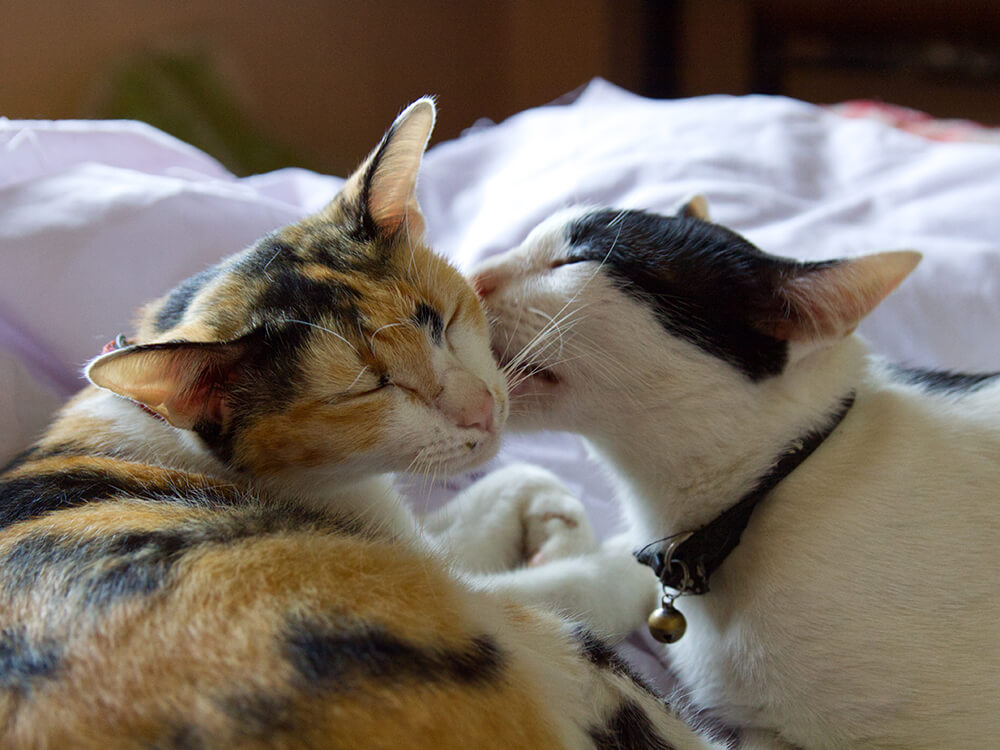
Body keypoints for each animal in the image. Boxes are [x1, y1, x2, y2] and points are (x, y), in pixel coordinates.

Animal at [0, 101, 724, 750]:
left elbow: (490, 495)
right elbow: (569, 580)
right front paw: (604, 552)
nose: (482, 410)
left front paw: (549, 517)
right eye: (366, 389)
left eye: (440, 318)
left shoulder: (392, 525)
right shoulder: (443, 577)